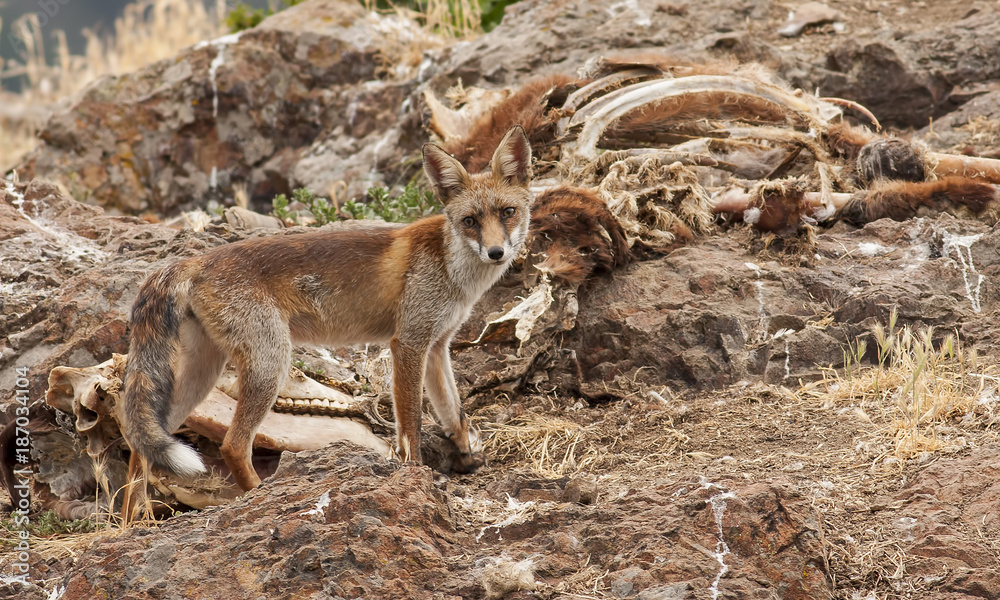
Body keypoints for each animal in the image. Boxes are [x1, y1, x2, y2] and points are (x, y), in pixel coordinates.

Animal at [120, 125, 533, 497]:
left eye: (508, 212)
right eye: (470, 221)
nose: (497, 253)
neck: (452, 269)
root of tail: (195, 260)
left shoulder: (437, 346)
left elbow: (454, 412)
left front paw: (467, 455)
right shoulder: (408, 343)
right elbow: (411, 424)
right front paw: (415, 474)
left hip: (203, 373)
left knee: (140, 444)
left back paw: (135, 521)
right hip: (270, 364)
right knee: (232, 446)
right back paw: (256, 493)